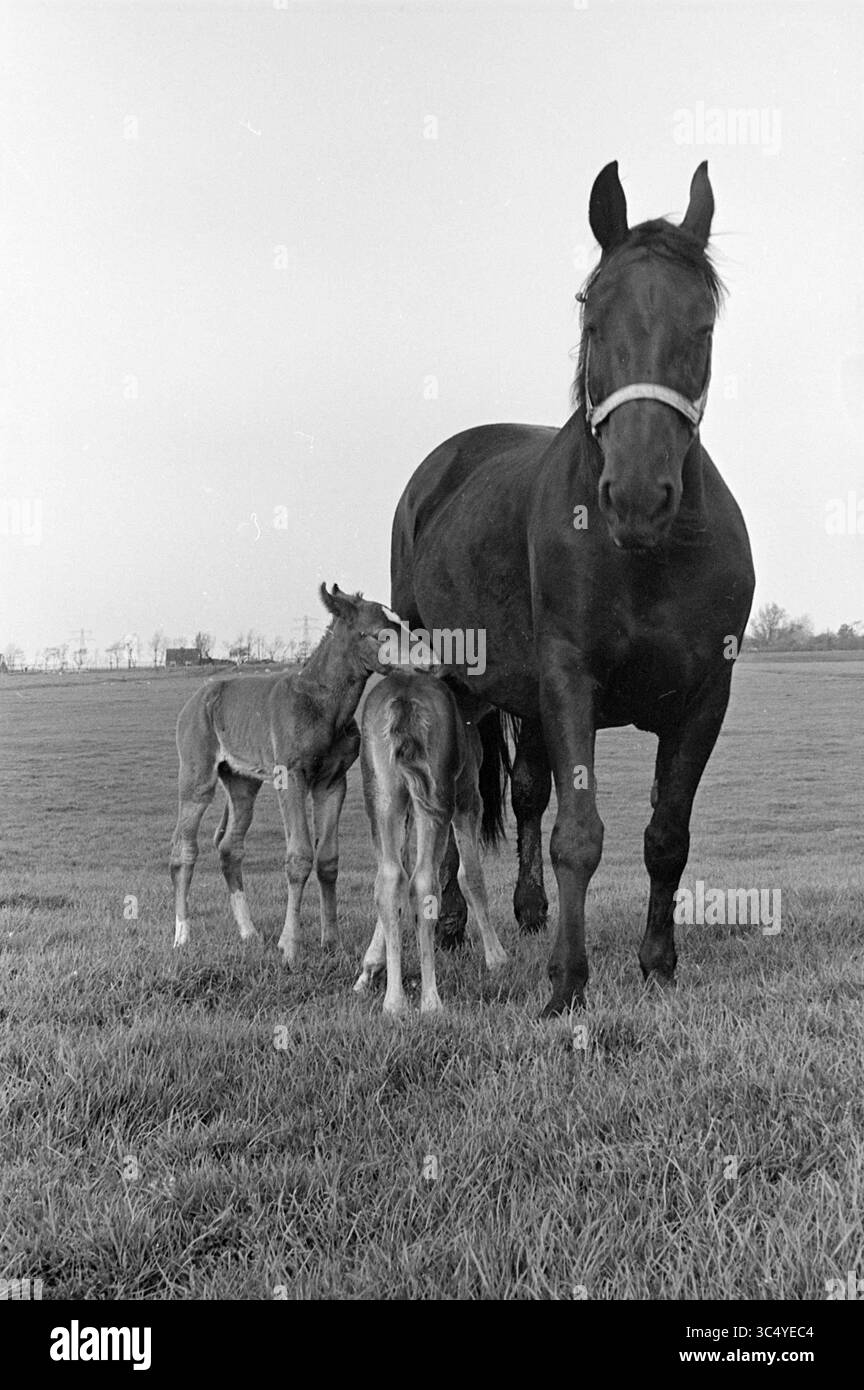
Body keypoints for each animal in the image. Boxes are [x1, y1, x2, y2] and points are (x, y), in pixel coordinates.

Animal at [169, 584, 401, 964]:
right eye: (379, 631)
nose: (429, 656)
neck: (325, 706)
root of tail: (198, 697)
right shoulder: (290, 777)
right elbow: (299, 857)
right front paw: (290, 946)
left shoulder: (332, 782)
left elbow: (327, 859)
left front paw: (331, 940)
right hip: (197, 778)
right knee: (183, 848)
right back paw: (182, 936)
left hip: (242, 782)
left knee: (230, 847)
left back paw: (249, 933)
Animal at [353, 669, 508, 1014]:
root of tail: (403, 699)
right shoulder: (467, 797)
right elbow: (470, 876)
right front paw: (496, 957)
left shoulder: (408, 808)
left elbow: (397, 872)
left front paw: (370, 969)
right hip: (438, 798)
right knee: (424, 881)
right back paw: (430, 1001)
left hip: (383, 796)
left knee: (389, 878)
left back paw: (394, 1002)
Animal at [390, 161, 755, 1016]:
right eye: (592, 315)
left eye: (703, 327)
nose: (638, 496)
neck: (648, 559)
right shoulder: (569, 682)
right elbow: (579, 836)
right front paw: (566, 983)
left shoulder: (705, 697)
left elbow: (666, 836)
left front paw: (657, 962)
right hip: (448, 683)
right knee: (447, 803)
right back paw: (451, 923)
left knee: (523, 792)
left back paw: (525, 911)